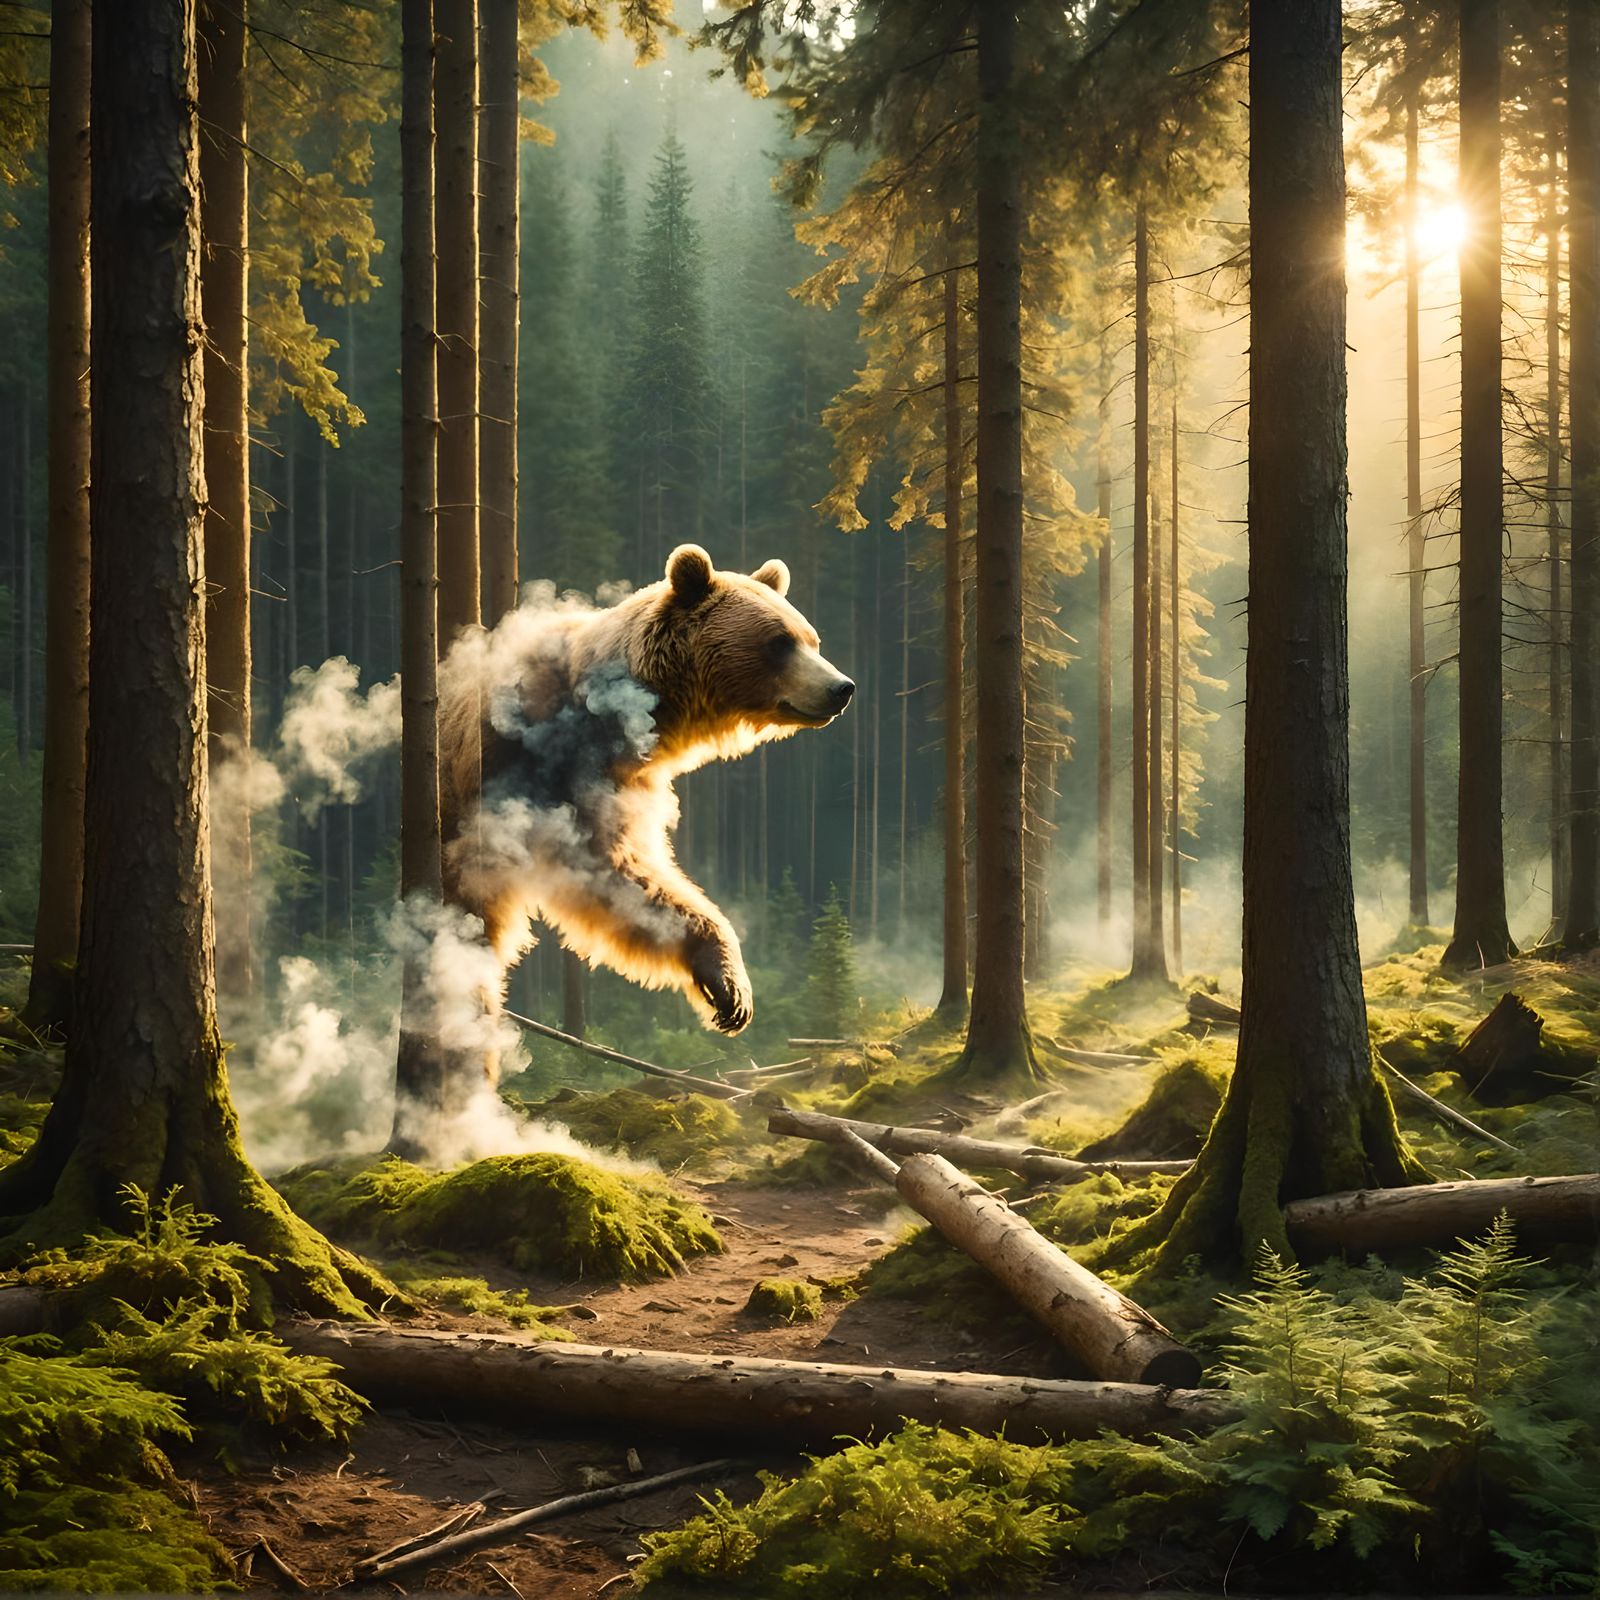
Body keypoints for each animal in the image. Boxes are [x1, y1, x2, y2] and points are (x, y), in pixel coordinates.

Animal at [438, 544, 853, 1037]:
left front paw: (730, 988)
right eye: (780, 642)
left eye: (812, 640)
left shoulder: (624, 785)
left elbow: (634, 880)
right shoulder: (534, 774)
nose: (841, 688)